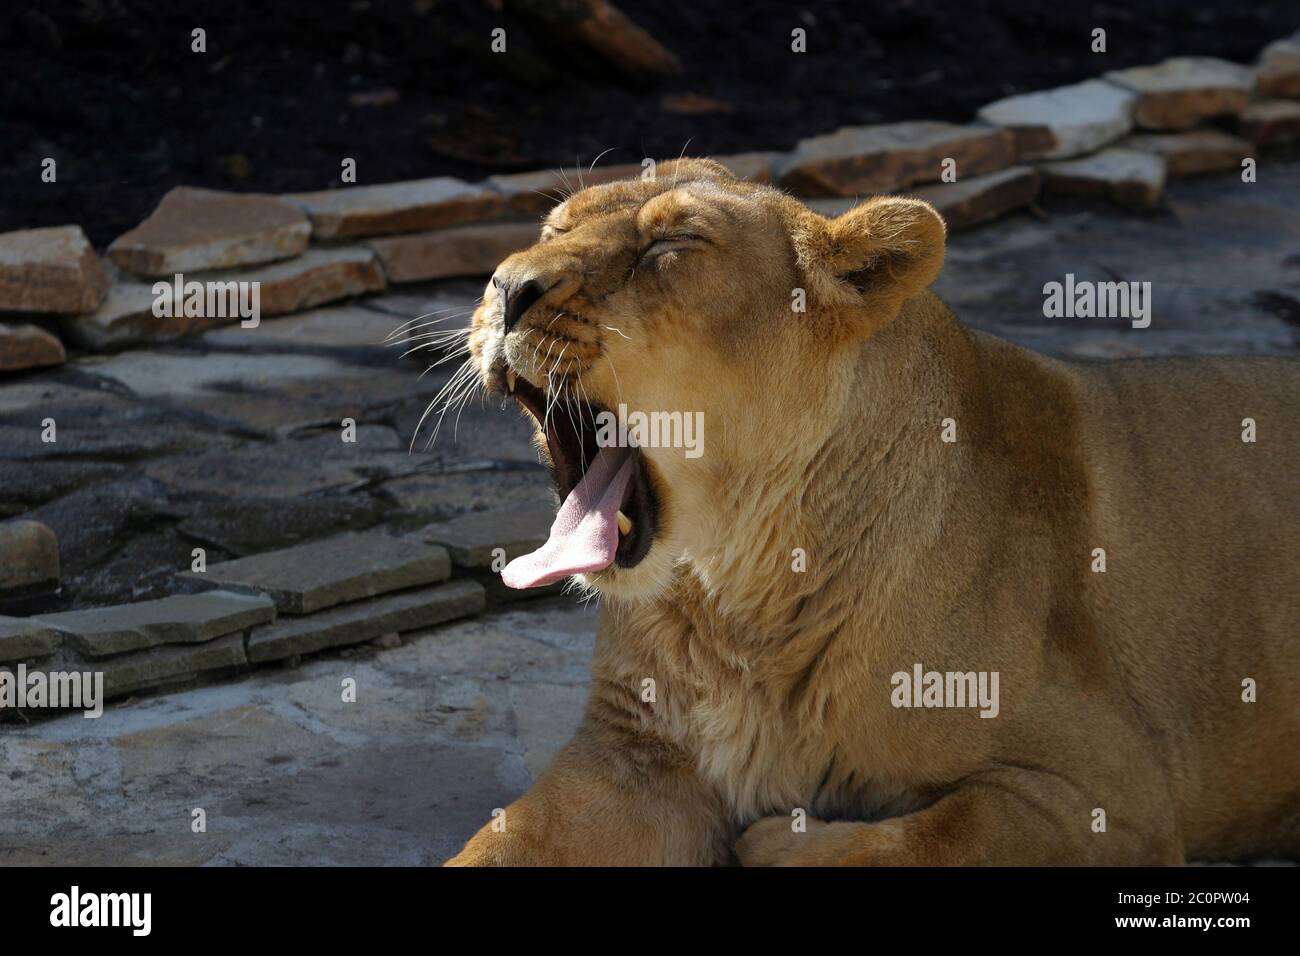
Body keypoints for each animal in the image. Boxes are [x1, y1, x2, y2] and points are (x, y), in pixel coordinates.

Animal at [445, 158, 1299, 865]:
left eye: (673, 244)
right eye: (553, 230)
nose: (505, 288)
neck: (731, 597)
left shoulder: (1112, 794)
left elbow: (936, 837)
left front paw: (775, 840)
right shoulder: (633, 754)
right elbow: (501, 840)